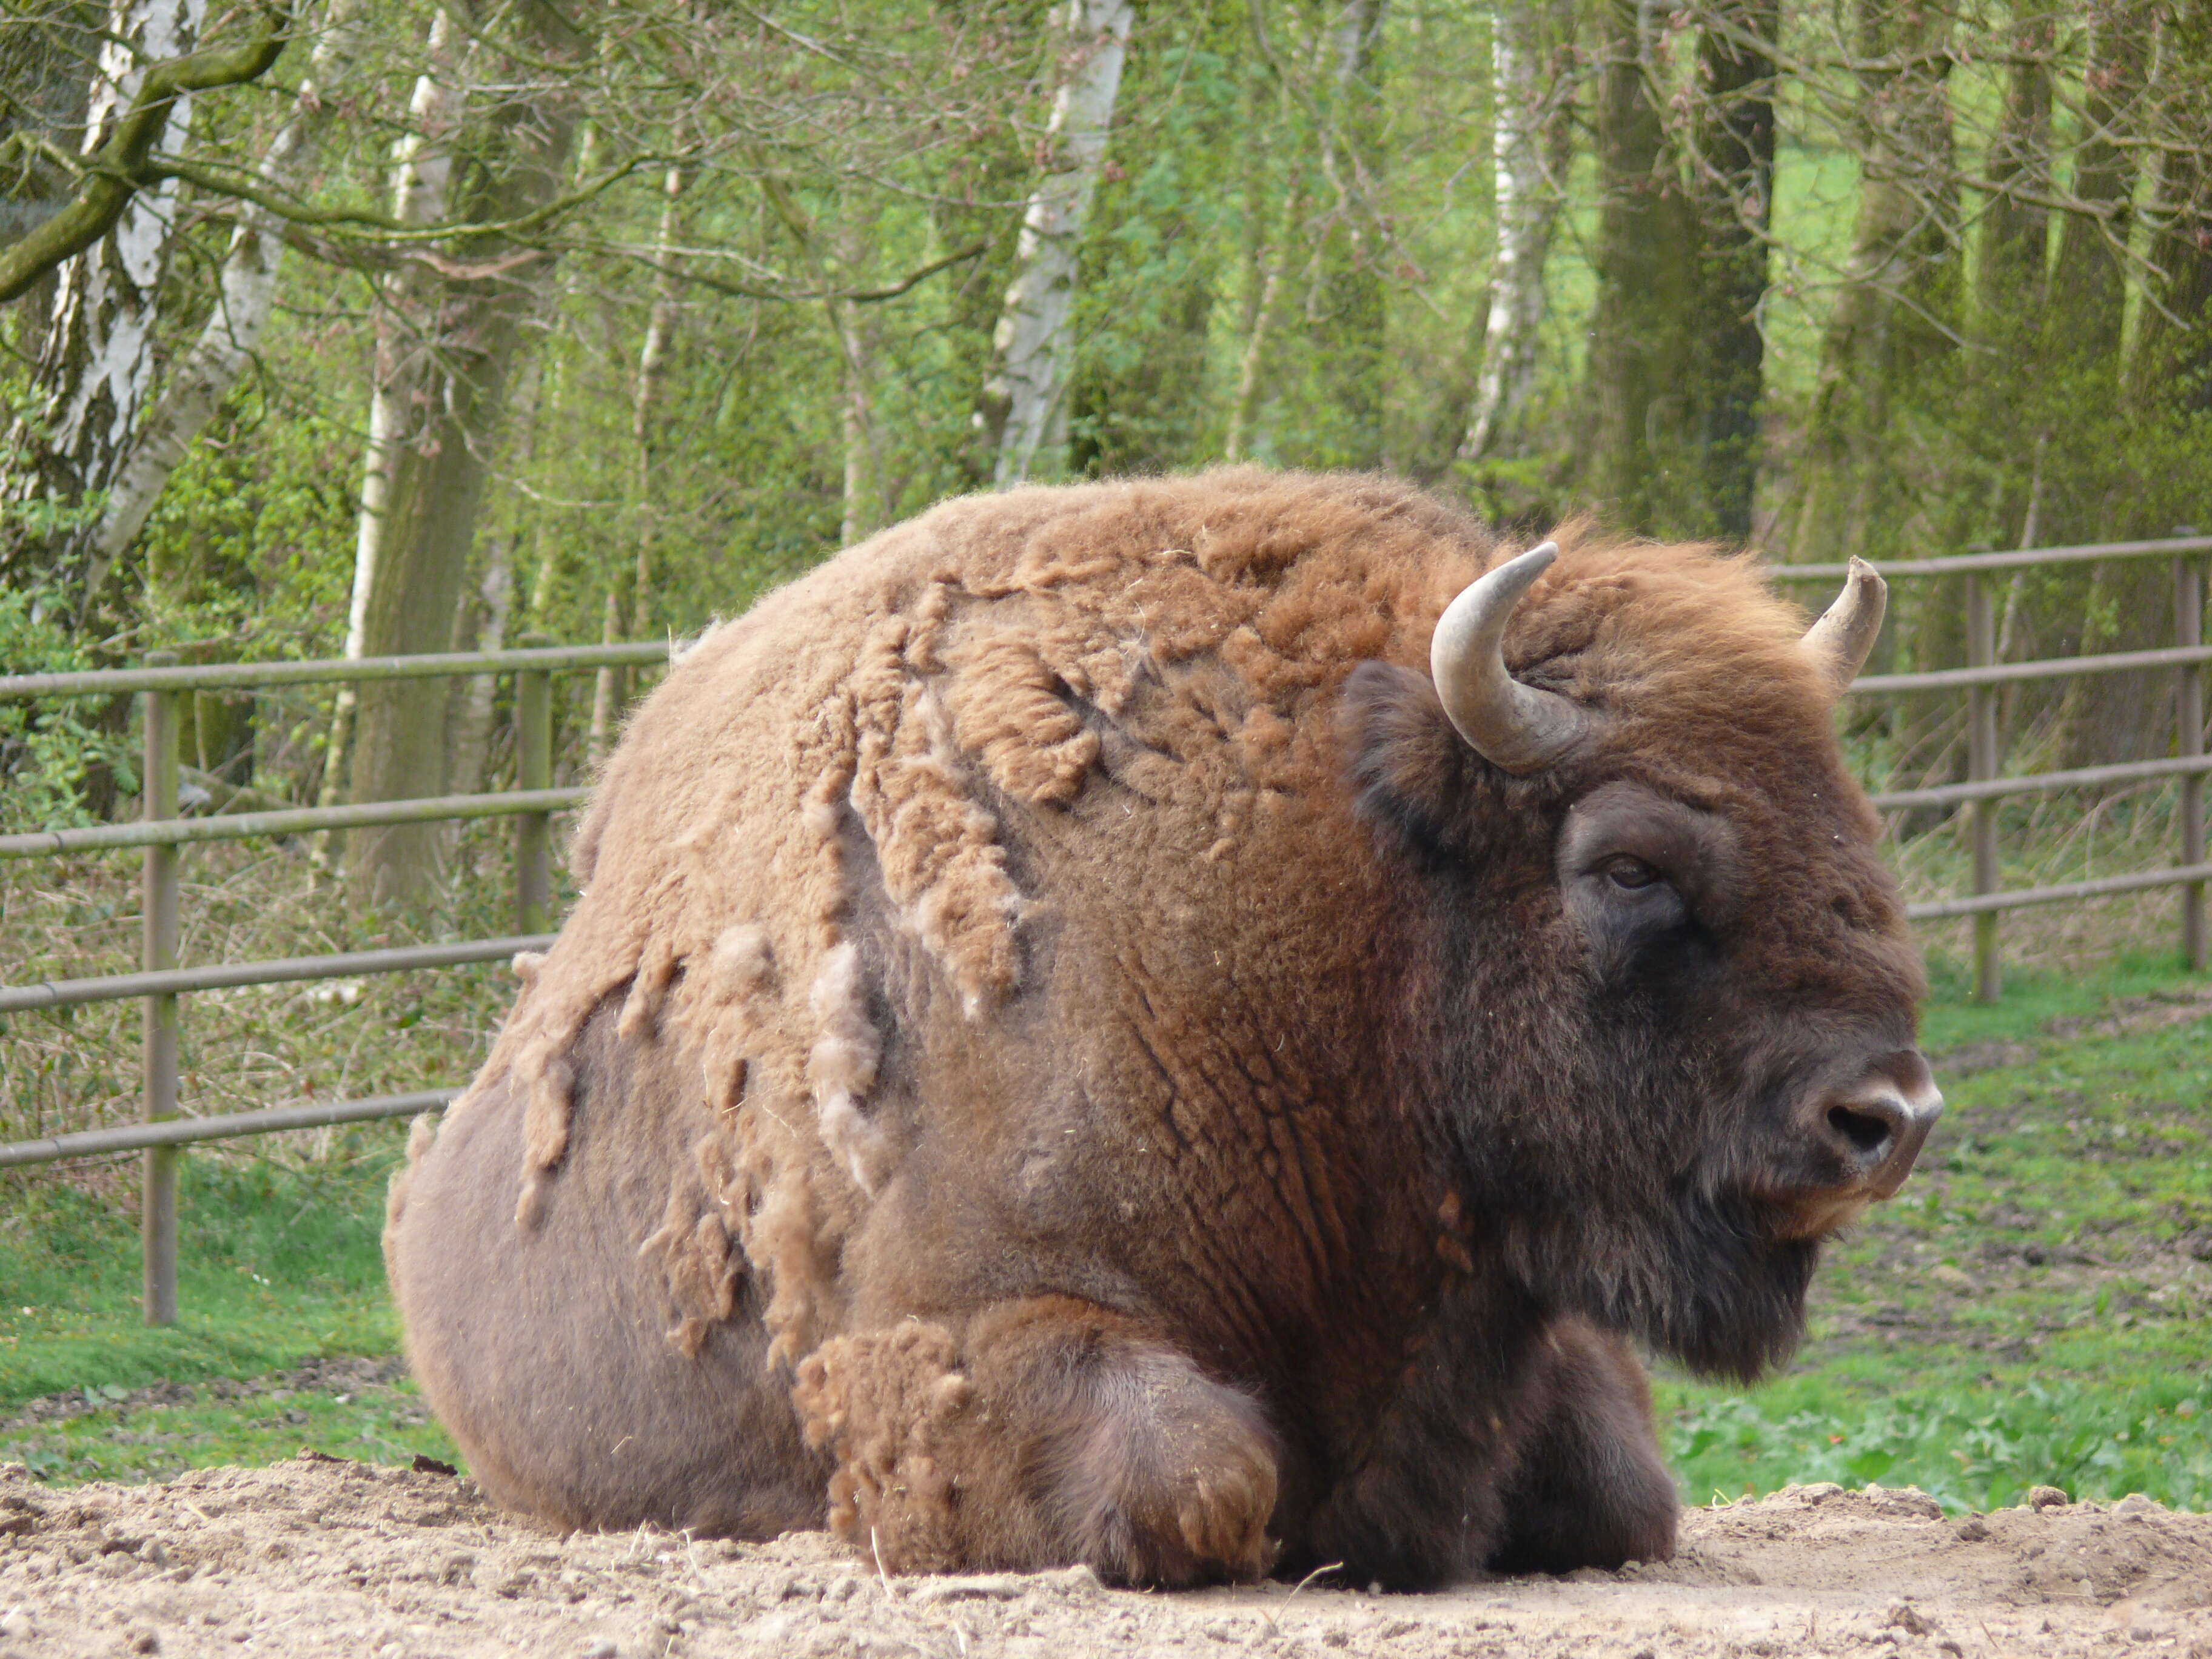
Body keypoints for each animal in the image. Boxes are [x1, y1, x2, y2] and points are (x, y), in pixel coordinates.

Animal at [389, 473, 1946, 1592]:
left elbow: (1623, 1490)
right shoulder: (945, 1339)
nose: (1886, 1117)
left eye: (1853, 824)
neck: (1342, 899)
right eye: (1627, 864)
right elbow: (1196, 1477)